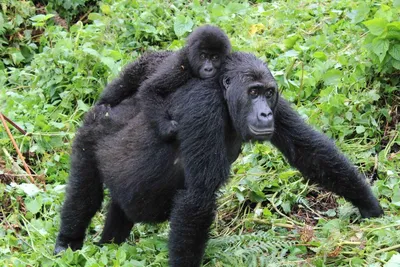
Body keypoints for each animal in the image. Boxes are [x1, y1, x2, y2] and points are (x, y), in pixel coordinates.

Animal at [54, 51, 382, 266]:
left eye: (268, 93)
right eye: (253, 92)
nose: (265, 113)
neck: (224, 94)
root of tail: (103, 111)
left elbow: (309, 151)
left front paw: (371, 207)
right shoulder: (204, 107)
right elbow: (198, 196)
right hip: (91, 132)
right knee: (84, 193)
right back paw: (67, 242)